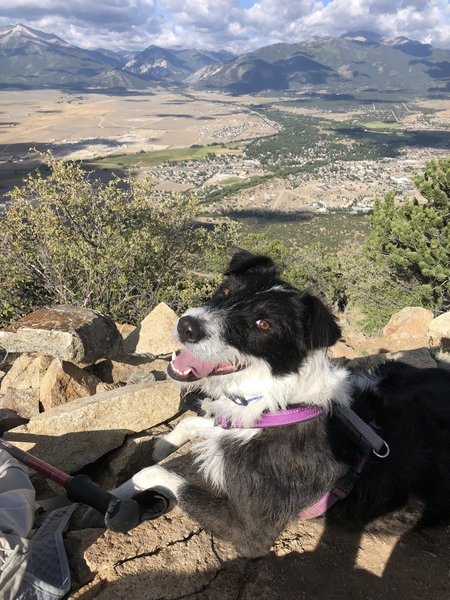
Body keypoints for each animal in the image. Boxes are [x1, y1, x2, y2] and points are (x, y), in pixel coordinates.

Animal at [110, 251, 448, 556]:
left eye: (263, 324)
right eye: (226, 291)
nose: (186, 326)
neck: (280, 405)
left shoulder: (250, 532)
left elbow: (156, 474)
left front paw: (117, 495)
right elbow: (190, 424)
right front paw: (160, 446)